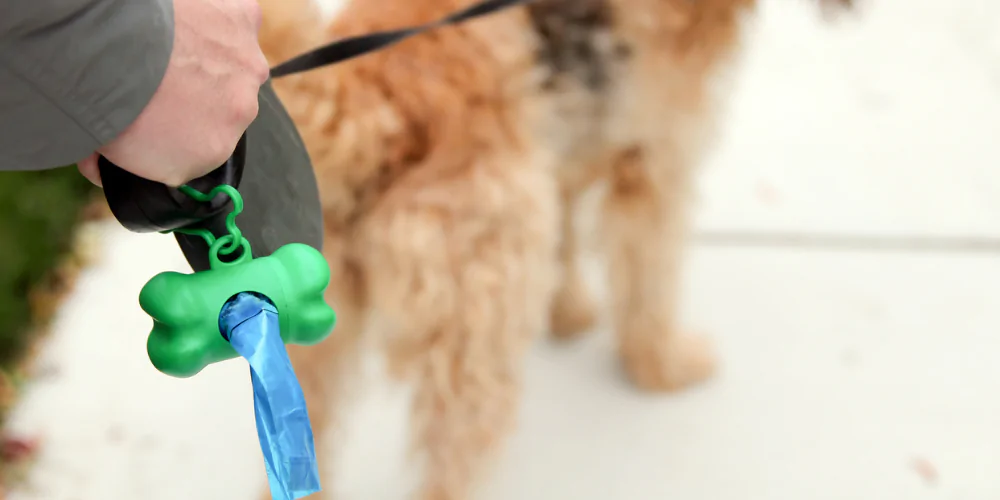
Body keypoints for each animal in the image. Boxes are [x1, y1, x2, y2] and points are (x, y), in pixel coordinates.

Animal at [260, 0, 852, 498]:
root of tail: (368, 96)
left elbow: (567, 233)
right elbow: (650, 283)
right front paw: (663, 366)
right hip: (477, 350)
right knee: (449, 473)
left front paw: (569, 314)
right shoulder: (654, 167)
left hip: (311, 348)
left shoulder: (565, 156)